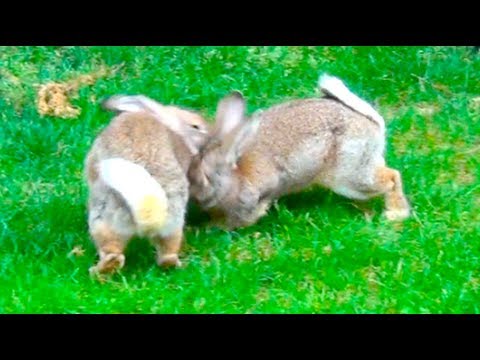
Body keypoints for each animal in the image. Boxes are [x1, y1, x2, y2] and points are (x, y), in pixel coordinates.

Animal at [188, 74, 408, 229]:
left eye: (207, 176)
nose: (196, 197)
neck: (235, 176)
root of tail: (374, 125)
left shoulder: (250, 203)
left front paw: (211, 228)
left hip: (351, 176)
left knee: (391, 177)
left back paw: (396, 213)